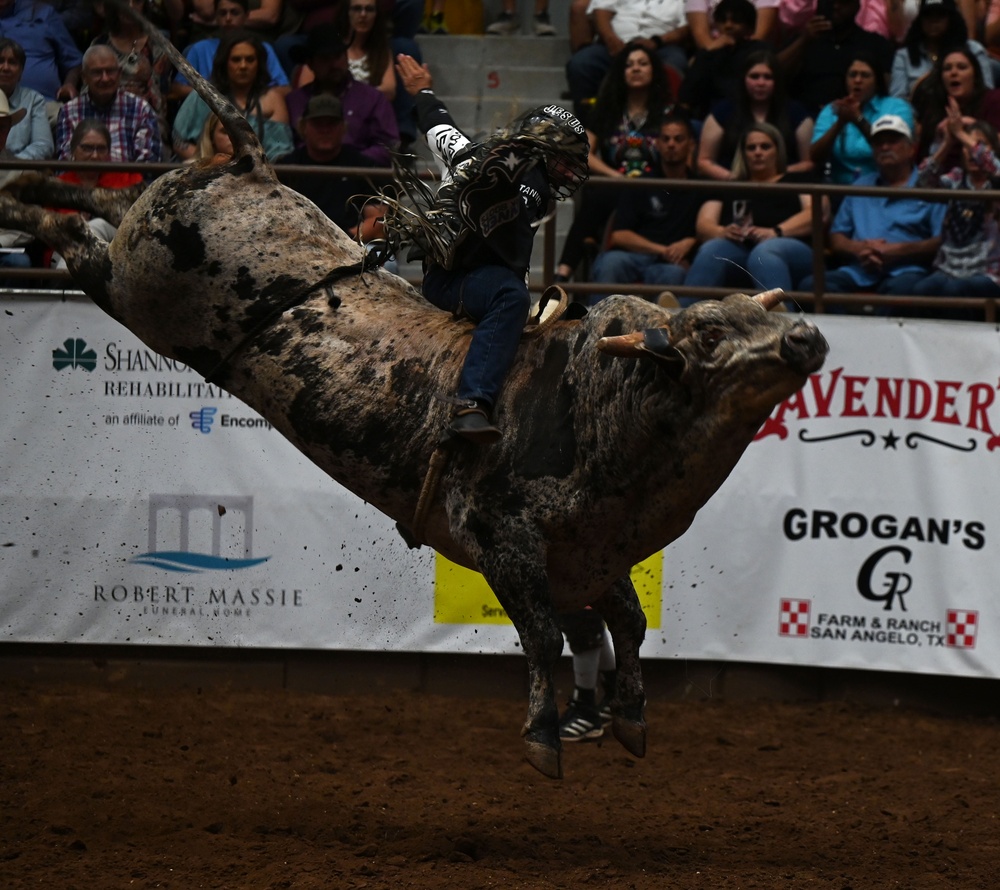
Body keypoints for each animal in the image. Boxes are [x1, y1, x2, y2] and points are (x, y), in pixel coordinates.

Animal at [0, 8, 828, 776]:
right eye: (709, 334)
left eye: (758, 311)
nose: (804, 338)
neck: (606, 404)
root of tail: (251, 168)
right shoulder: (502, 541)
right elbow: (544, 634)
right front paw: (545, 735)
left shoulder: (590, 564)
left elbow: (623, 625)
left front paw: (625, 719)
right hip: (133, 288)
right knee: (71, 234)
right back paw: (18, 197)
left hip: (143, 244)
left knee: (96, 205)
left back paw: (25, 178)